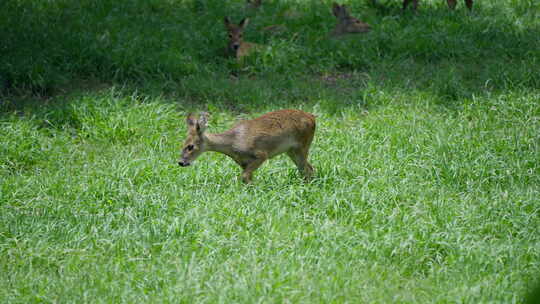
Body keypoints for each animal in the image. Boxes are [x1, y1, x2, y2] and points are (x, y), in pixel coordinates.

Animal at [178, 110, 316, 184]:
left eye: (190, 146)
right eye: (182, 144)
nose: (180, 162)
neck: (232, 143)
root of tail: (312, 117)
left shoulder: (261, 154)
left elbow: (244, 177)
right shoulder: (243, 163)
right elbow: (247, 177)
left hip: (303, 145)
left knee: (308, 169)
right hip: (292, 150)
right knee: (308, 169)